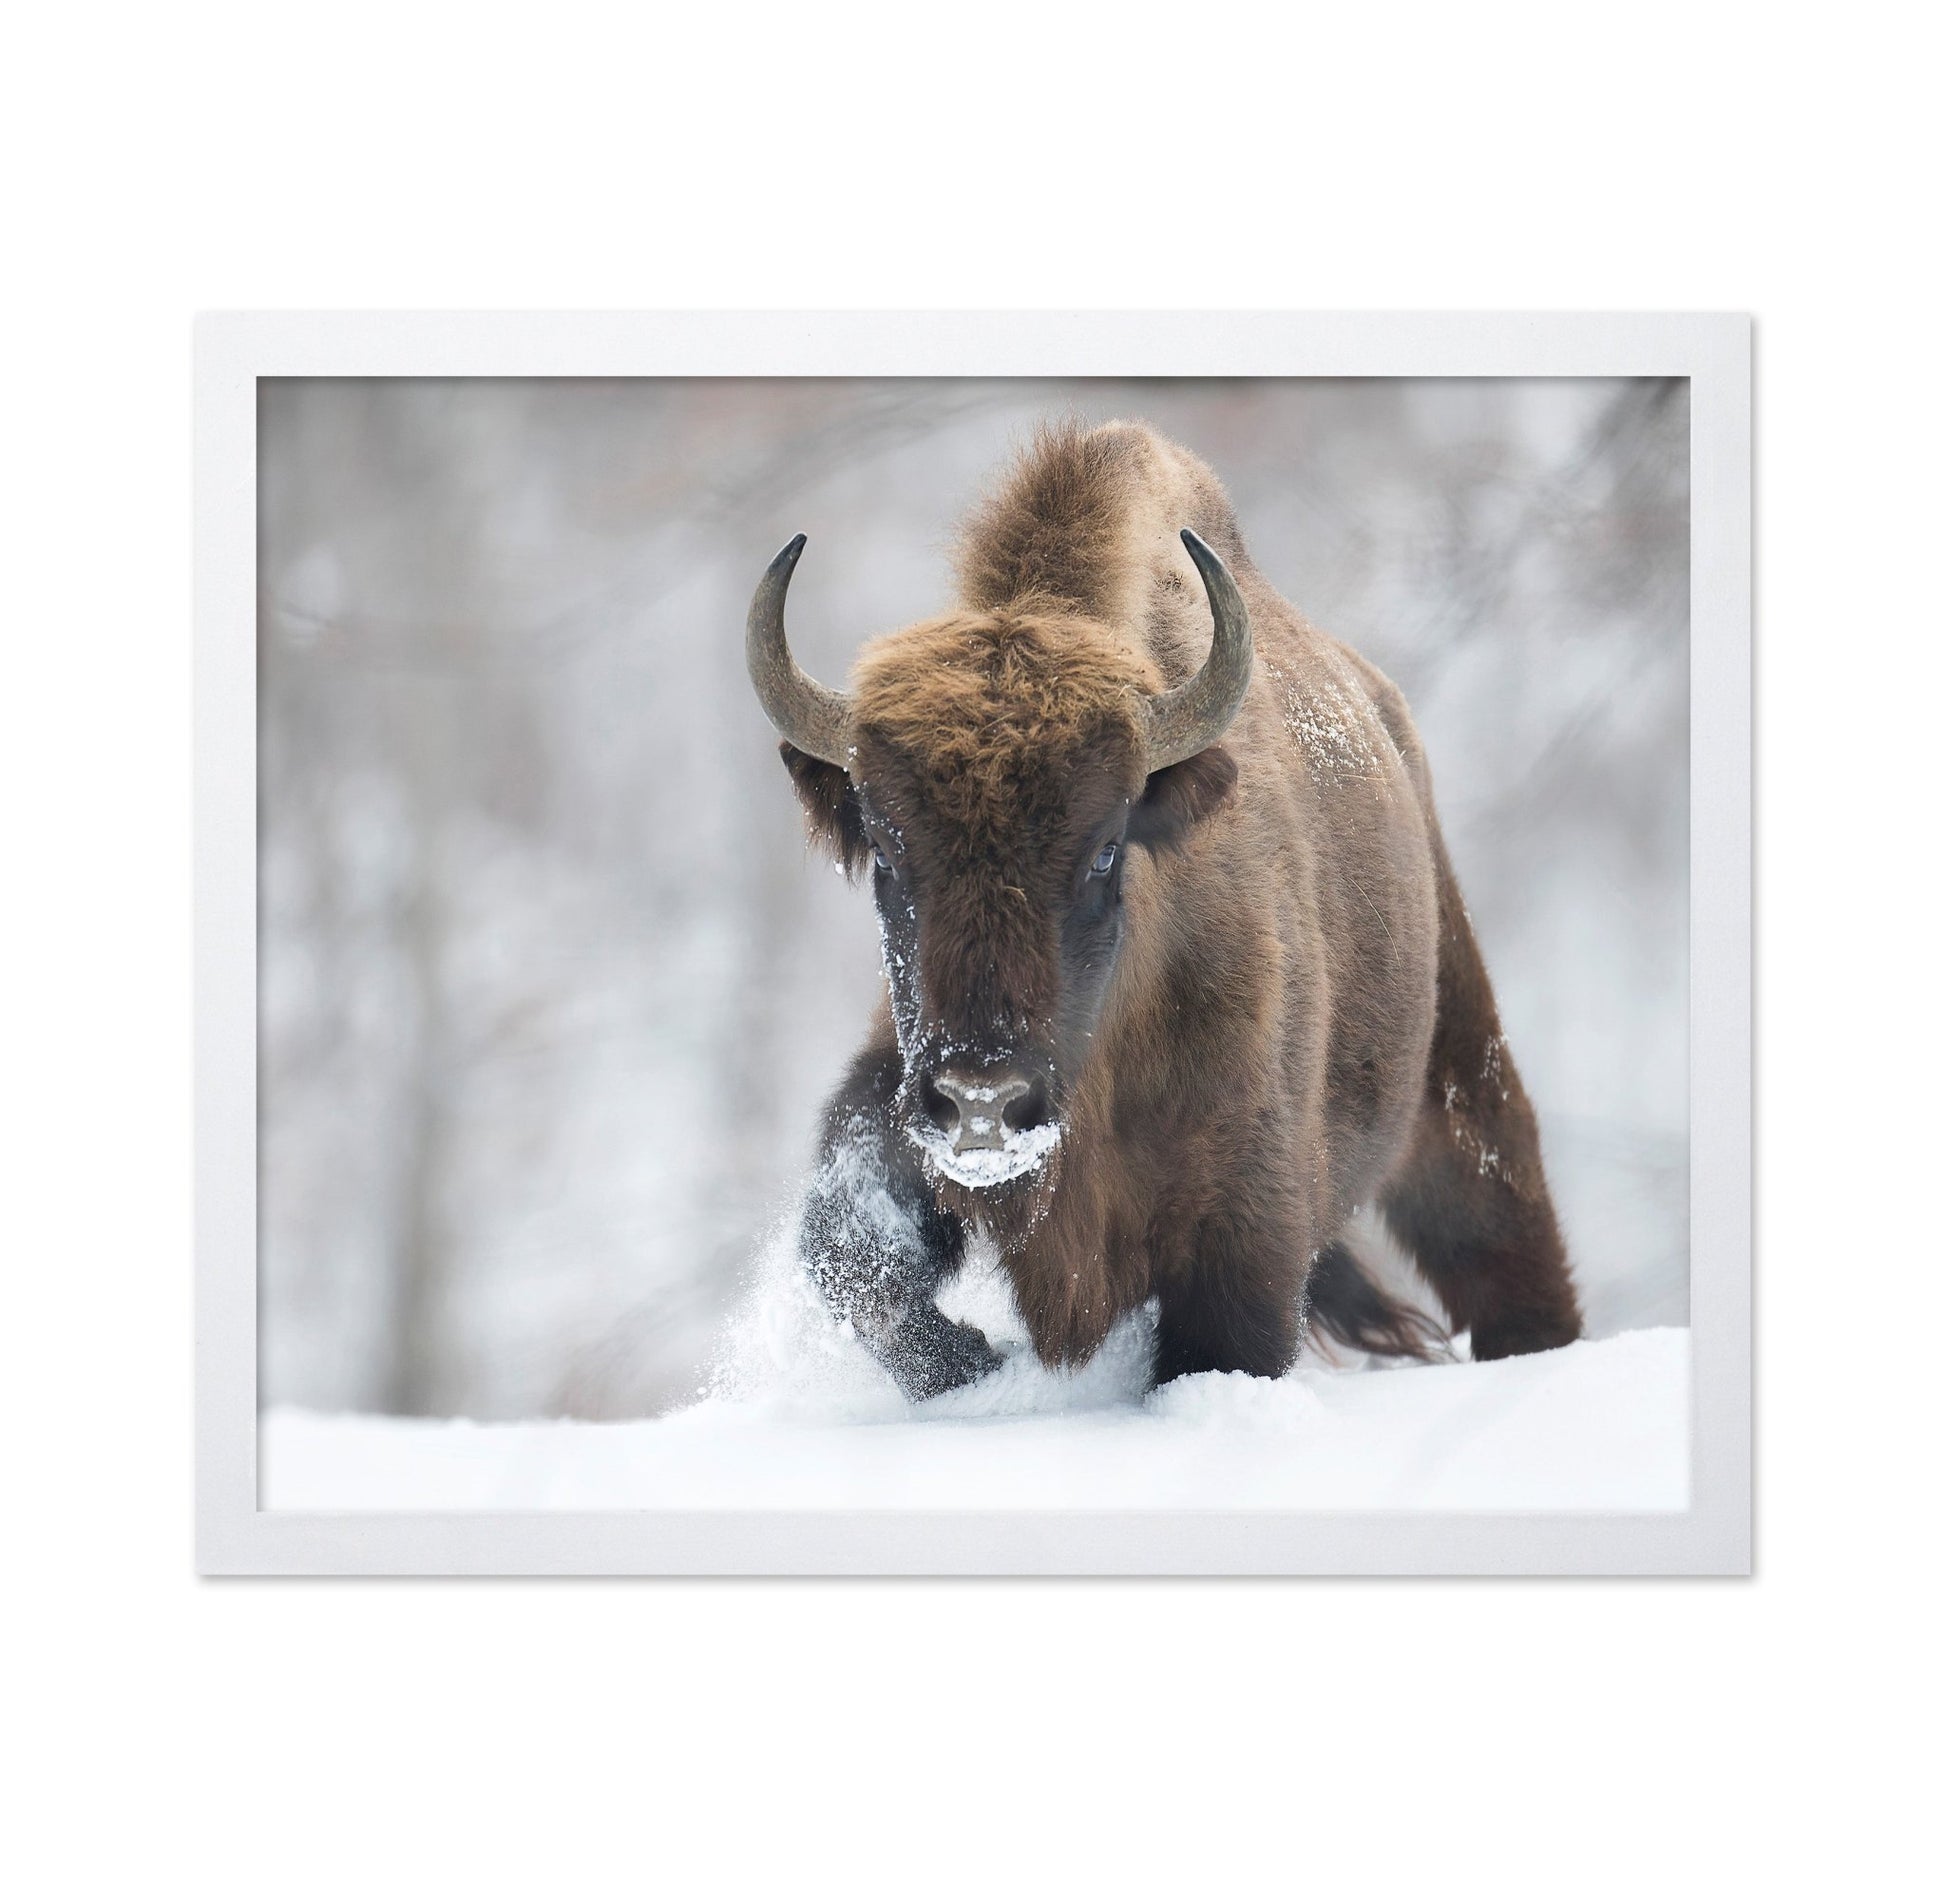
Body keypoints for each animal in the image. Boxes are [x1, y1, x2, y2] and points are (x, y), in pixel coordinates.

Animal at [746, 421, 1582, 1398]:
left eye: (1106, 847)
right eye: (884, 849)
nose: (981, 1103)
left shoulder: (1244, 1239)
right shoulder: (895, 1097)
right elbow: (853, 1256)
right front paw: (976, 1359)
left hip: (1459, 1086)